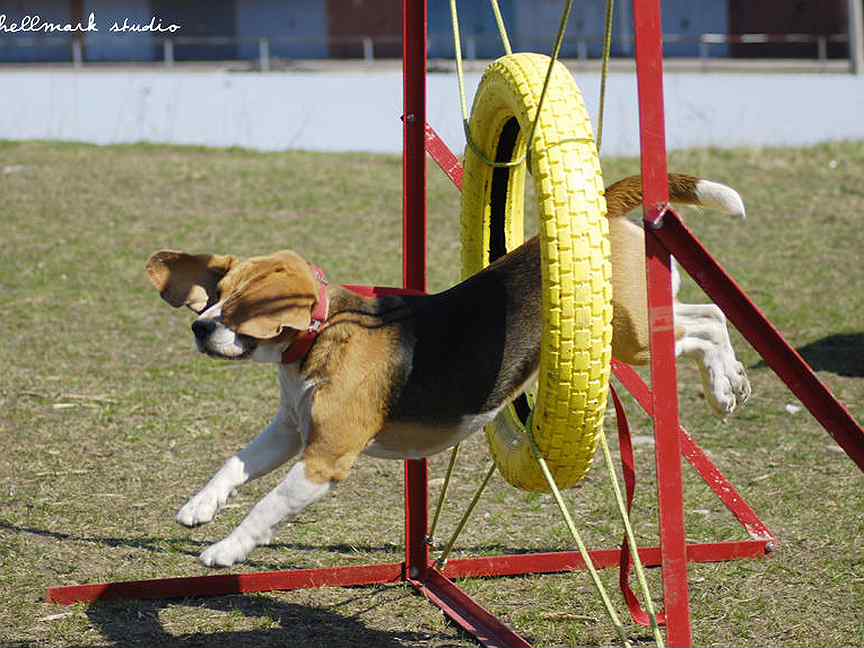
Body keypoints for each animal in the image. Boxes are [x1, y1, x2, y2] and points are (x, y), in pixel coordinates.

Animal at [145, 173, 744, 568]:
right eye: (216, 294)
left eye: (244, 304)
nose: (199, 327)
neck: (320, 336)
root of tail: (598, 211)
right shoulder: (291, 431)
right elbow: (233, 465)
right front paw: (199, 508)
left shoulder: (324, 459)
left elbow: (266, 506)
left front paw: (225, 549)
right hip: (639, 327)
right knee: (708, 317)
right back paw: (732, 382)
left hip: (631, 335)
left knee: (704, 327)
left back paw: (722, 385)